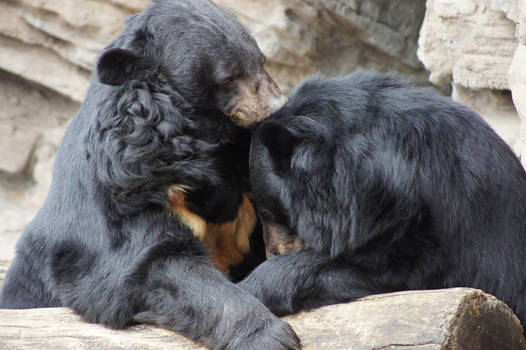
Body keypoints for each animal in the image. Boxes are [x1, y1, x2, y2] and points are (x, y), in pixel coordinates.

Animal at [1, 0, 302, 350]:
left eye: (262, 60)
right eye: (228, 76)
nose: (277, 106)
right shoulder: (129, 187)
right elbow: (152, 264)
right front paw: (272, 337)